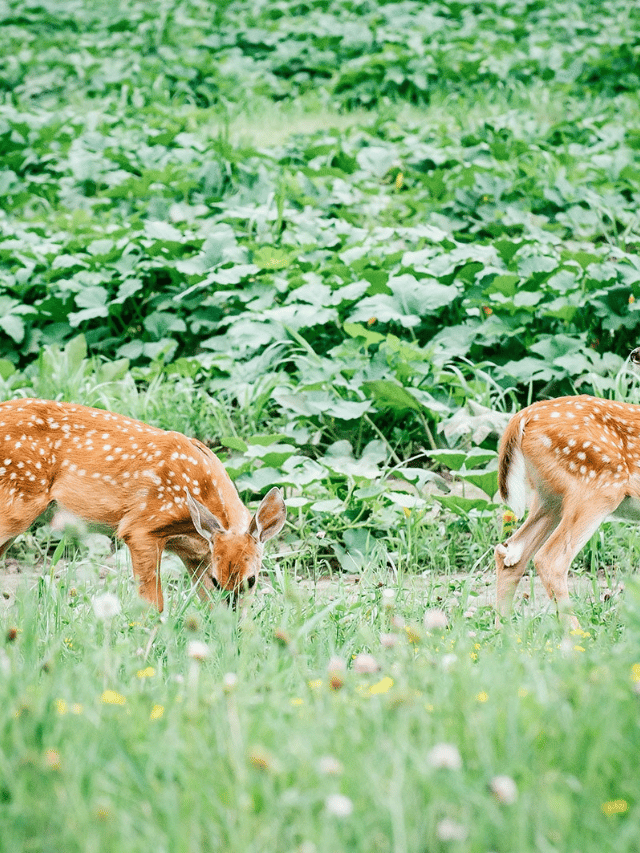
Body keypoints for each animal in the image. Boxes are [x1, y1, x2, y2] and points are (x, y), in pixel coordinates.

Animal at [0, 397, 287, 612]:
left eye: (252, 580)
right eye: (219, 581)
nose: (236, 617)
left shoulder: (195, 554)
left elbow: (207, 605)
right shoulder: (141, 527)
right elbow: (153, 605)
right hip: (16, 506)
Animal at [495, 391, 640, 629]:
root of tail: (523, 416)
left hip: (549, 498)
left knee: (512, 554)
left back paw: (503, 634)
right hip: (596, 487)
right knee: (549, 560)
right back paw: (578, 634)